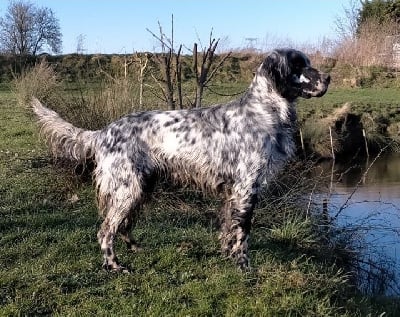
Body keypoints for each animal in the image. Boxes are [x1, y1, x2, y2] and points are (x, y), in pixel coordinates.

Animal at [31, 47, 330, 272]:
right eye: (298, 66)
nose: (328, 77)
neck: (264, 111)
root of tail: (104, 132)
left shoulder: (232, 191)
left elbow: (228, 228)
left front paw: (227, 255)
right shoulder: (247, 187)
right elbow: (243, 232)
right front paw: (244, 266)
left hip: (141, 187)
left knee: (123, 226)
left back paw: (135, 248)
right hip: (128, 189)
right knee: (105, 231)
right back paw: (115, 266)